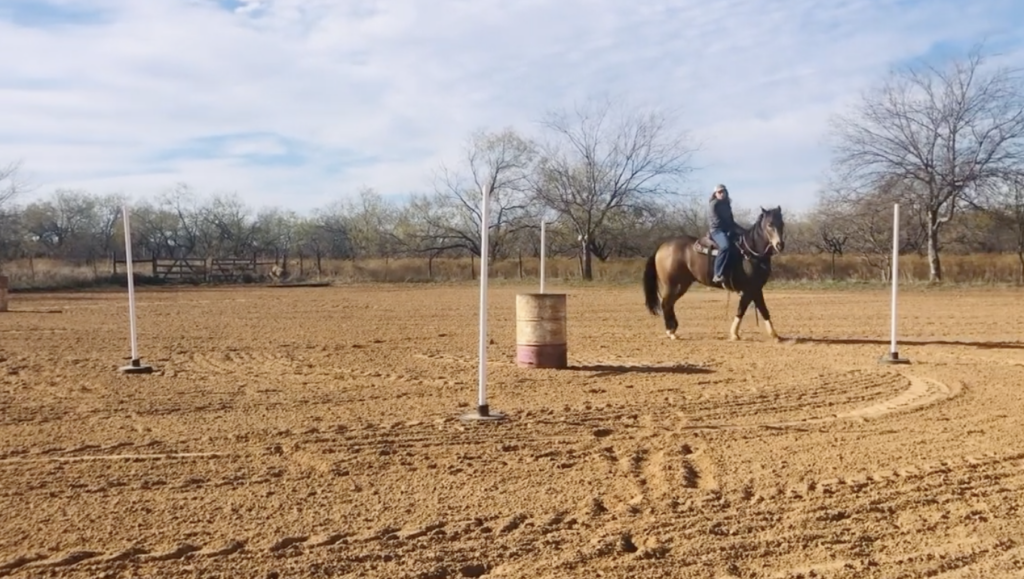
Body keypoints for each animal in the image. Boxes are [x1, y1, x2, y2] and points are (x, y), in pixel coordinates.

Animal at [642, 206, 786, 342]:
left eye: (782, 223)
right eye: (769, 224)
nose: (780, 245)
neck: (750, 253)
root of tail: (662, 246)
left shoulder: (755, 288)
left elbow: (757, 309)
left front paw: (773, 335)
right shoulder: (750, 289)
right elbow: (747, 309)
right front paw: (736, 334)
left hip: (681, 285)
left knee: (670, 304)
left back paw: (673, 330)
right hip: (673, 284)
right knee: (666, 304)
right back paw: (671, 332)